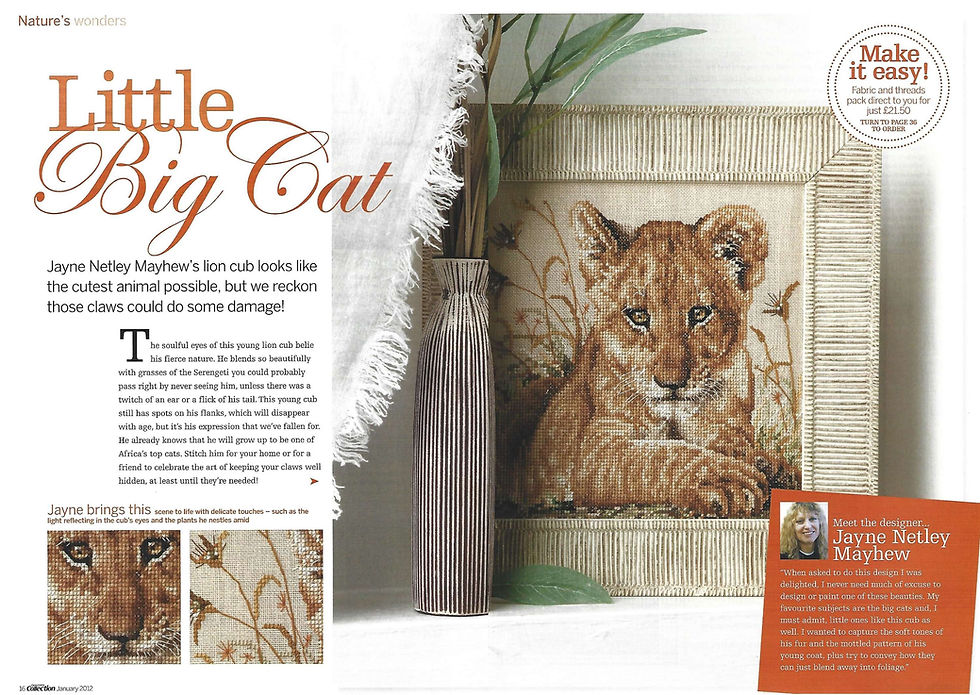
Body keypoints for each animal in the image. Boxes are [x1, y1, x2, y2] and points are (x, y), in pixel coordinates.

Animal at [517, 201, 795, 517]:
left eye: (700, 313)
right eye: (638, 316)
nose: (671, 383)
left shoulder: (731, 421)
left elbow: (731, 440)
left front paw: (771, 466)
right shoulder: (594, 450)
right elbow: (661, 455)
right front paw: (725, 478)